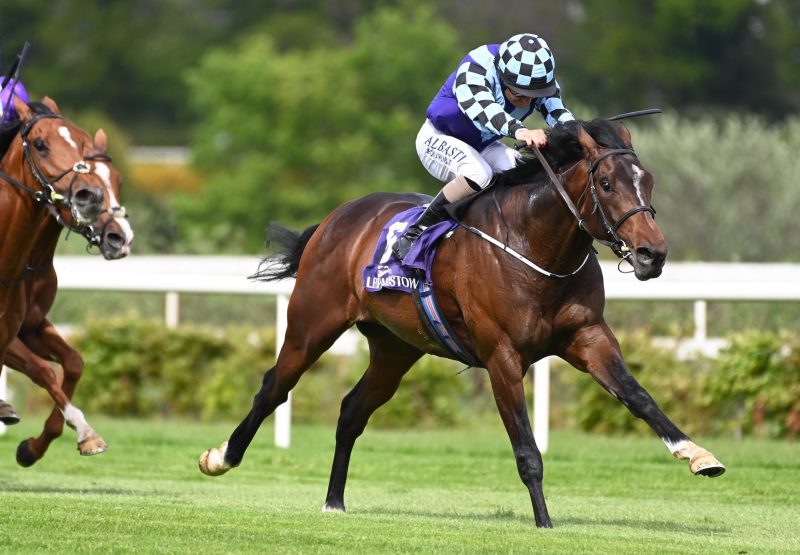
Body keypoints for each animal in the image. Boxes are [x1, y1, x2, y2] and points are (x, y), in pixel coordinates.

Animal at [0, 96, 134, 464]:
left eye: (117, 180)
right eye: (41, 145)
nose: (120, 237)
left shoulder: (28, 325)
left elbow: (73, 362)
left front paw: (34, 447)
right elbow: (45, 371)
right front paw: (86, 432)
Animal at [198, 119, 724, 528]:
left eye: (648, 182)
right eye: (608, 184)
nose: (653, 255)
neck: (536, 247)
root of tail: (335, 218)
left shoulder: (587, 337)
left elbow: (639, 397)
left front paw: (698, 454)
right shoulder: (502, 357)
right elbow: (527, 449)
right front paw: (544, 522)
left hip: (396, 348)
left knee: (351, 410)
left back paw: (334, 502)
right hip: (312, 324)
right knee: (273, 388)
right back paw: (221, 458)